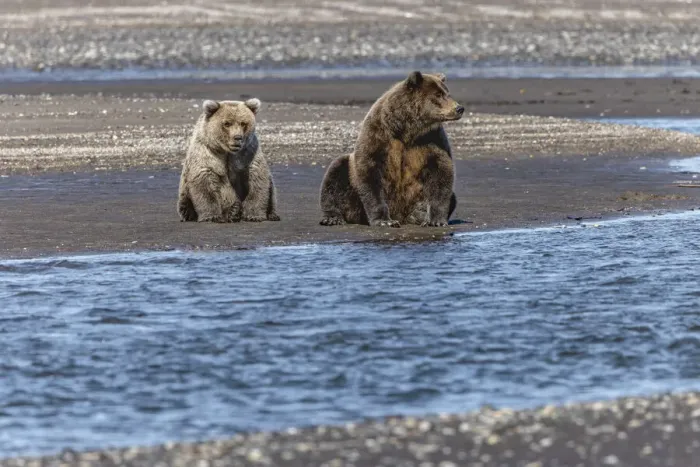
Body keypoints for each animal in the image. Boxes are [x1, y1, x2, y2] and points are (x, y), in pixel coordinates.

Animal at [319, 71, 463, 228]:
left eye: (447, 93)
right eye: (438, 94)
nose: (459, 108)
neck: (407, 129)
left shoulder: (431, 140)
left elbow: (441, 173)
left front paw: (435, 220)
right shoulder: (379, 136)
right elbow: (370, 174)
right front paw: (384, 221)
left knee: (452, 197)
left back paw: (418, 212)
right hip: (351, 192)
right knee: (335, 175)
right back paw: (332, 218)